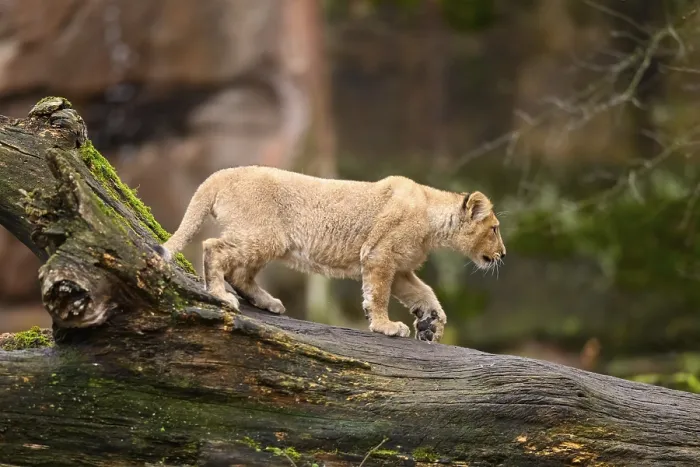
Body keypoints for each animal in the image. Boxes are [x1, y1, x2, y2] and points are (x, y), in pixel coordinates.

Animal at [154, 165, 506, 343]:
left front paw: (431, 325)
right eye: (494, 229)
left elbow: (425, 293)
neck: (433, 220)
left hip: (269, 241)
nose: (503, 254)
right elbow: (379, 295)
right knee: (213, 249)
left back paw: (268, 302)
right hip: (262, 236)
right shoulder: (378, 255)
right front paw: (385, 326)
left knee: (241, 273)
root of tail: (220, 174)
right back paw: (219, 295)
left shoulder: (400, 268)